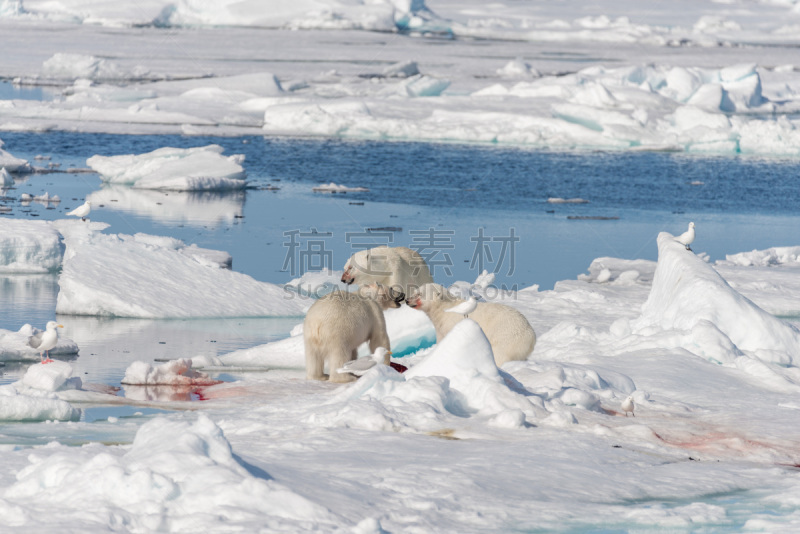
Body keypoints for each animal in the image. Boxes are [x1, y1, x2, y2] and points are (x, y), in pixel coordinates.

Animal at [406, 284, 536, 368]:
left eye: (419, 294)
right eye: (415, 291)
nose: (407, 300)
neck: (444, 309)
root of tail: (531, 335)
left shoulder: (451, 322)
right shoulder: (440, 328)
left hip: (506, 337)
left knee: (500, 355)